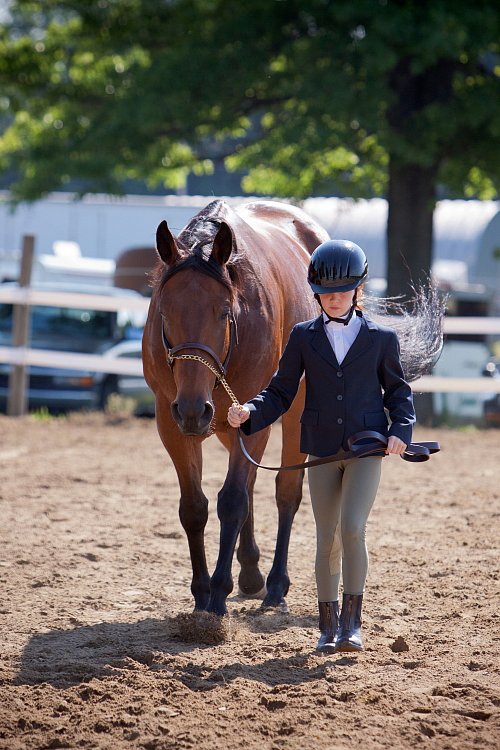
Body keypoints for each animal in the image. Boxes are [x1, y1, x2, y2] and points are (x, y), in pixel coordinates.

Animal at [142, 200, 328, 616]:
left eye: (224, 310)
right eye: (164, 311)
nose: (193, 410)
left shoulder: (253, 418)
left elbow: (232, 501)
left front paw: (217, 594)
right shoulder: (171, 422)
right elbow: (194, 506)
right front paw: (200, 592)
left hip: (294, 412)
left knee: (285, 492)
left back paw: (275, 585)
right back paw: (252, 572)